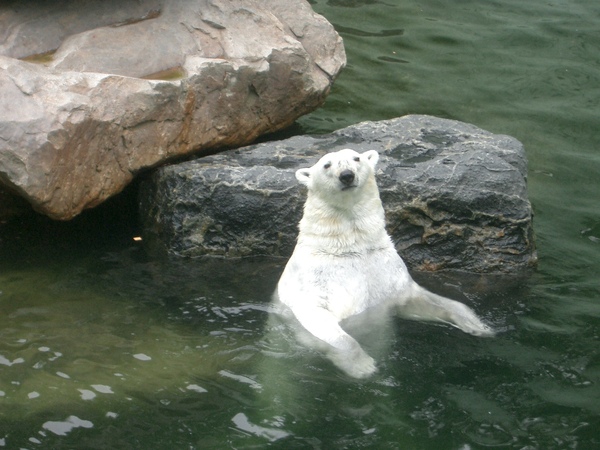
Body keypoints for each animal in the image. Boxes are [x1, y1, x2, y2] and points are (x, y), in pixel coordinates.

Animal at [274, 149, 494, 378]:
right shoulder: (314, 280)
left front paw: (478, 325)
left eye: (356, 158)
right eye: (327, 165)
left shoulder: (385, 272)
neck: (351, 246)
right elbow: (318, 320)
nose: (346, 175)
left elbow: (419, 301)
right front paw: (363, 366)